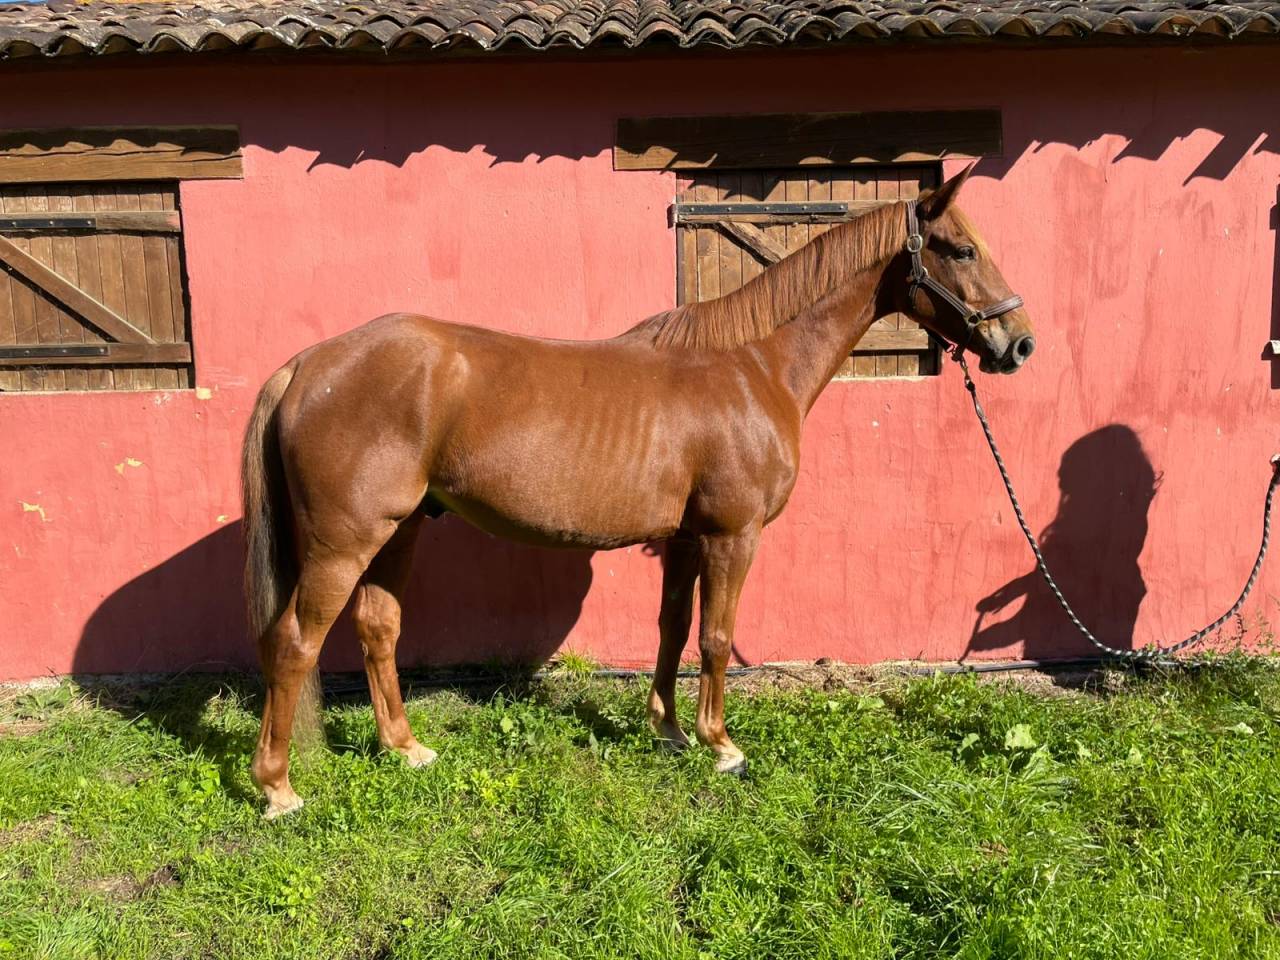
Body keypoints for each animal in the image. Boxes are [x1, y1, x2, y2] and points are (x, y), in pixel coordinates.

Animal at [241, 164, 1034, 819]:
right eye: (960, 250)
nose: (1020, 344)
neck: (752, 367)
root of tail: (307, 366)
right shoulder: (732, 536)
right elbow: (716, 638)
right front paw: (721, 746)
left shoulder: (684, 539)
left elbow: (672, 630)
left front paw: (670, 731)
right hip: (344, 542)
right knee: (293, 641)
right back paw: (278, 788)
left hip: (398, 529)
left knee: (378, 629)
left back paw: (405, 749)